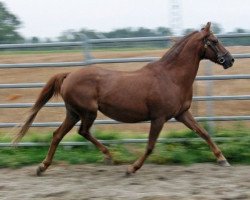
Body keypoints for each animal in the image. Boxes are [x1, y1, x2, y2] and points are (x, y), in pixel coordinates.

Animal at [14, 22, 234, 176]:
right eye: (214, 41)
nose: (230, 60)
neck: (171, 77)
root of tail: (69, 75)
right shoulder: (159, 118)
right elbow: (150, 146)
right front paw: (131, 169)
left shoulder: (182, 114)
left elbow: (204, 133)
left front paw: (223, 159)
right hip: (87, 112)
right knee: (82, 131)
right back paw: (108, 156)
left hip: (73, 113)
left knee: (58, 135)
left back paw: (43, 167)